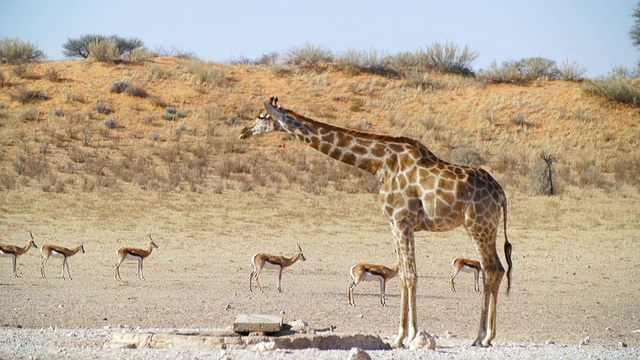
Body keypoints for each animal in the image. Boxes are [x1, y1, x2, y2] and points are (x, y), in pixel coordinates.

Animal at [238, 97, 512, 348]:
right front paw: (404, 335)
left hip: (479, 224)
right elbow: (403, 275)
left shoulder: (401, 220)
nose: (243, 132)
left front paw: (407, 335)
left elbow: (409, 276)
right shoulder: (395, 223)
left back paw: (483, 337)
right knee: (496, 269)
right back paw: (483, 337)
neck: (379, 164)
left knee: (492, 270)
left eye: (262, 116)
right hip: (485, 226)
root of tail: (501, 193)